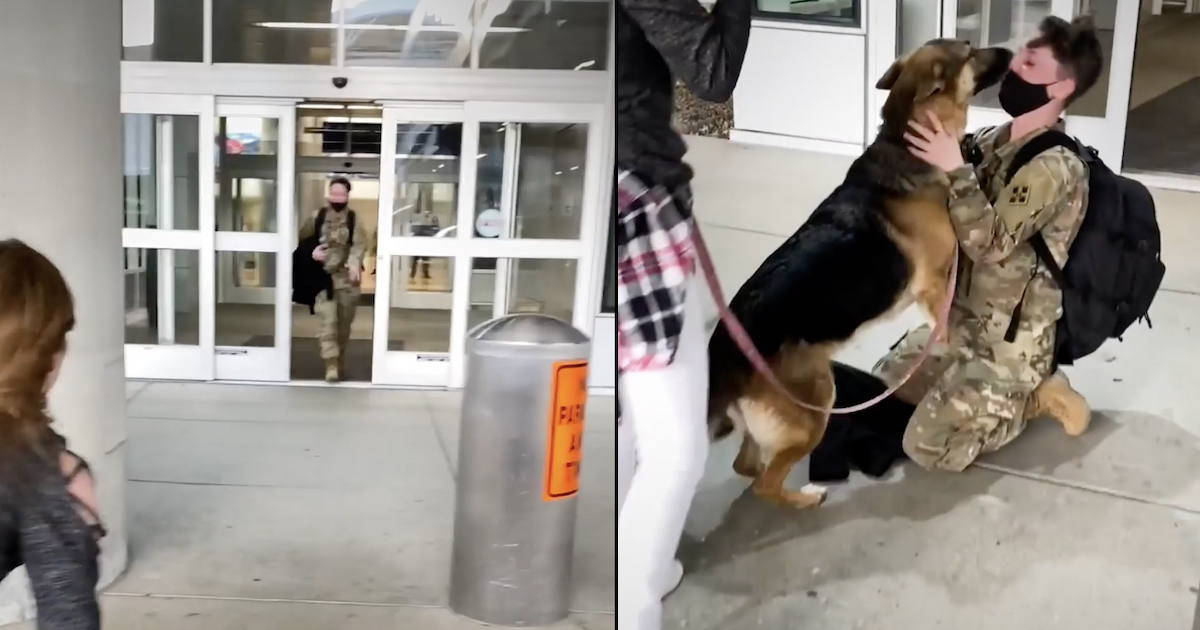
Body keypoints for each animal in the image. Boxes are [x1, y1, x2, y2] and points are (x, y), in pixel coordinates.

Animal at [700, 39, 1012, 508]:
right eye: (971, 50)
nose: (1011, 52)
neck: (907, 142)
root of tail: (722, 355)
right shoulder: (933, 284)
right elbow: (949, 327)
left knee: (746, 466)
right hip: (815, 407)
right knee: (763, 483)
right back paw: (806, 499)